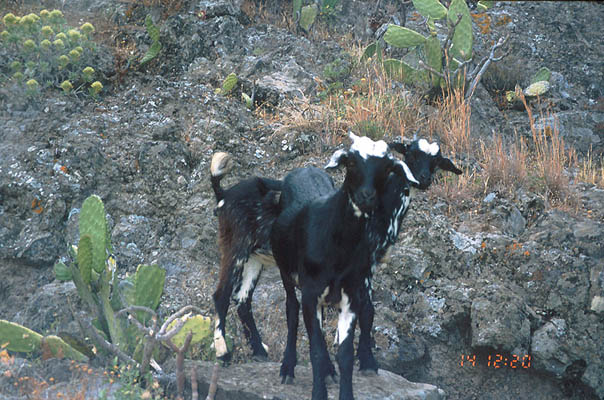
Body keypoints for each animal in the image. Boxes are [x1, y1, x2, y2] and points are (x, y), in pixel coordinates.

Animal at [209, 152, 282, 360]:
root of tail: (224, 195)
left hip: (254, 260)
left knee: (242, 300)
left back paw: (259, 351)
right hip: (236, 249)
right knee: (222, 295)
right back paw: (223, 351)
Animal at [272, 134, 422, 400]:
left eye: (387, 167)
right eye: (351, 163)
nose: (366, 196)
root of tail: (304, 169)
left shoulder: (350, 295)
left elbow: (345, 355)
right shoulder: (311, 293)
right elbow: (316, 349)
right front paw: (318, 393)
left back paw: (328, 371)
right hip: (286, 272)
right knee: (291, 309)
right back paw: (288, 367)